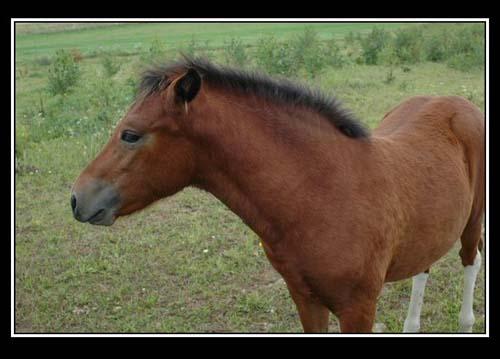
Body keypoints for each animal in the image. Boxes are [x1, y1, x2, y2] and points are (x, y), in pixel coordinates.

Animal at [71, 57, 484, 334]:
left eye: (131, 134)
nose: (77, 199)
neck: (321, 192)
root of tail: (457, 102)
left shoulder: (359, 307)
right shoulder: (305, 299)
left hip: (473, 218)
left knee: (469, 259)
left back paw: (466, 321)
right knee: (424, 264)